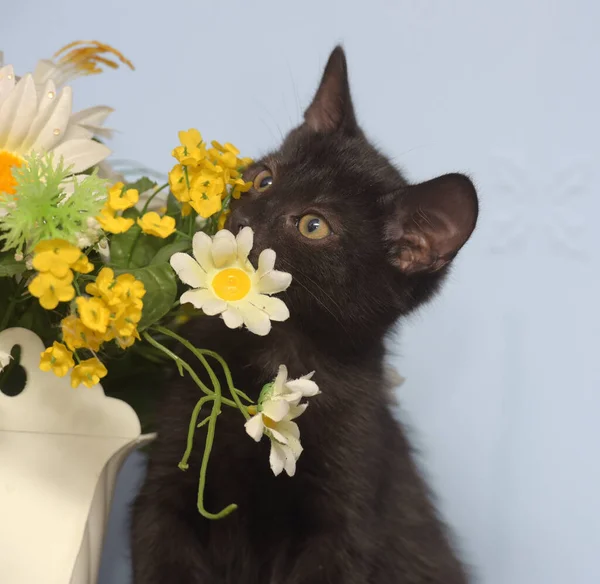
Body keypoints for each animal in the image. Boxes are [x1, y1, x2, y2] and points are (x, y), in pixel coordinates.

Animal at [131, 46, 478, 584]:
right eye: (263, 178)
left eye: (314, 225)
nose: (241, 219)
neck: (276, 352)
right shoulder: (165, 488)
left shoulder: (345, 521)